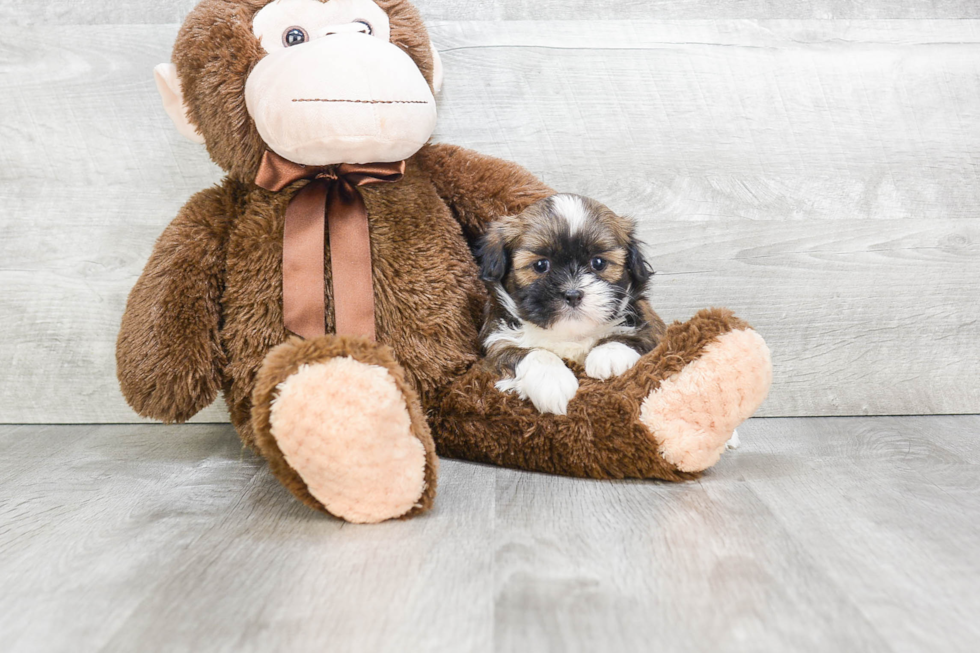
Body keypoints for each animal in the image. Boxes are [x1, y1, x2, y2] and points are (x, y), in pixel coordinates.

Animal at [474, 192, 668, 412]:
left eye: (598, 263)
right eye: (540, 265)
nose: (573, 294)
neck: (569, 334)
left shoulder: (652, 329)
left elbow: (638, 337)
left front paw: (609, 354)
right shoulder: (494, 347)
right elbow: (524, 353)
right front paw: (552, 381)